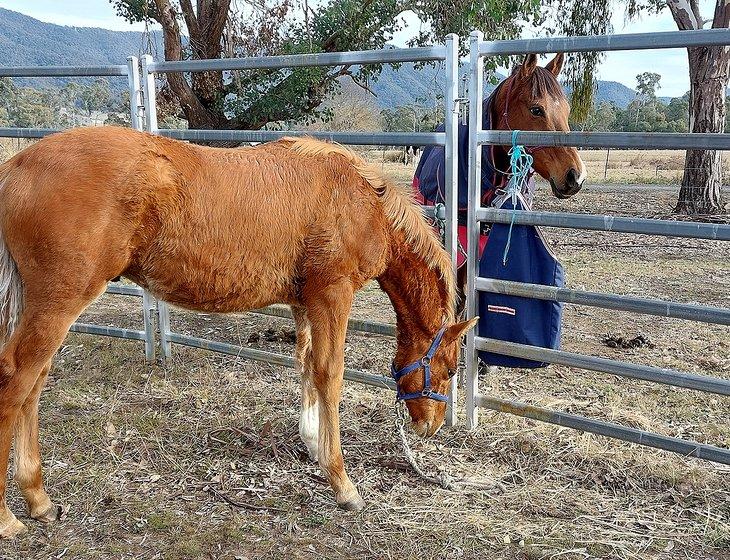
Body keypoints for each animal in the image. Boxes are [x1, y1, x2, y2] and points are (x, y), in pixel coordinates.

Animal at [0, 124, 474, 536]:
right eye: (450, 371)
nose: (428, 428)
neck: (360, 200)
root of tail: (17, 165)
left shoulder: (305, 303)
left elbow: (306, 367)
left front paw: (312, 443)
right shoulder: (333, 295)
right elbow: (330, 376)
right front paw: (342, 484)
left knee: (35, 383)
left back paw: (38, 498)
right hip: (60, 302)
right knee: (18, 378)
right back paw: (8, 518)